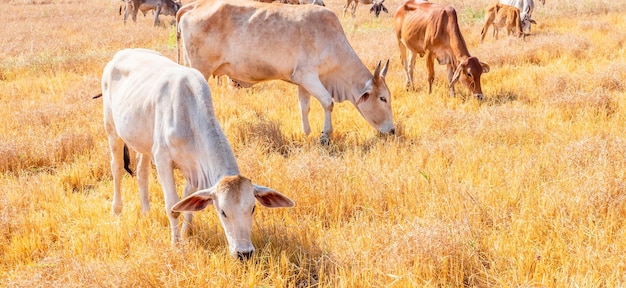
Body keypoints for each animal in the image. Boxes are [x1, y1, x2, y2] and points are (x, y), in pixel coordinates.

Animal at [100, 48, 294, 260]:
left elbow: (187, 199)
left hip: (142, 142)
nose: (244, 253)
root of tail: (120, 54)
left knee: (142, 173)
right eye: (223, 212)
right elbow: (173, 206)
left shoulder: (193, 167)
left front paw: (187, 232)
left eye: (252, 208)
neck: (188, 115)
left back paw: (146, 212)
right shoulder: (162, 159)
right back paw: (116, 210)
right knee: (117, 168)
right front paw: (176, 244)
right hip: (112, 130)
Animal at [174, 0, 390, 144]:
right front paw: (325, 136)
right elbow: (328, 103)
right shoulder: (309, 76)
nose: (393, 130)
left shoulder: (303, 81)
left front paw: (307, 134)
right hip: (201, 68)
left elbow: (304, 107)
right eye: (383, 98)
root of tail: (193, 6)